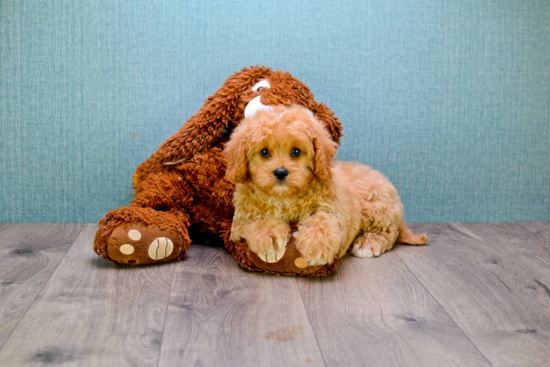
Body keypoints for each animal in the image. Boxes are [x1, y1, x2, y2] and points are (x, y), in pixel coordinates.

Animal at [223, 105, 426, 266]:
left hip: (377, 206)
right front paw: (269, 237)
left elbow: (324, 220)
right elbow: (256, 220)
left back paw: (367, 244)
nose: (280, 172)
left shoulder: (333, 206)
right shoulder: (241, 218)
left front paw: (316, 245)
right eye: (264, 152)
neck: (285, 198)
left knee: (389, 232)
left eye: (296, 152)